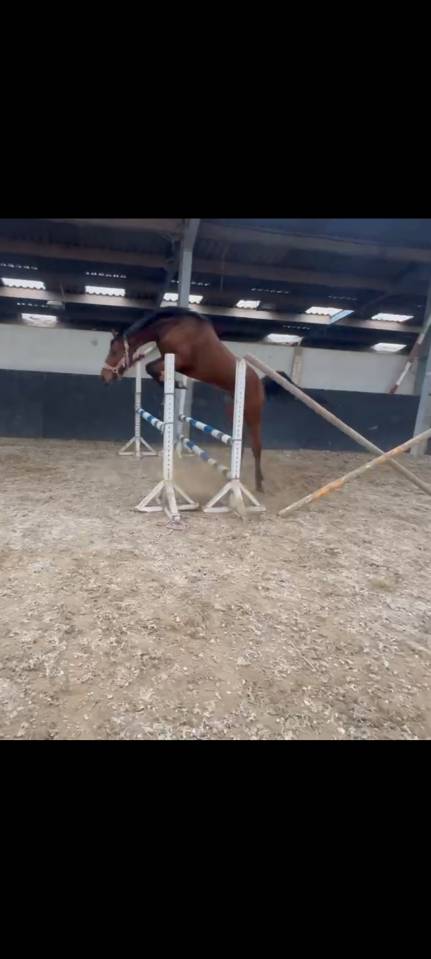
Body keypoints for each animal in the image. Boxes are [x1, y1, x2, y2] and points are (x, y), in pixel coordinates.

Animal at [100, 306, 266, 491]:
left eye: (115, 351)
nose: (104, 377)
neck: (172, 327)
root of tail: (257, 380)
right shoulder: (170, 359)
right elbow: (151, 368)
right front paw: (171, 382)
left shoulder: (180, 359)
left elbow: (150, 367)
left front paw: (176, 383)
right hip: (233, 411)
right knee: (240, 444)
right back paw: (235, 475)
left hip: (253, 413)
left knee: (256, 446)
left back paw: (259, 484)